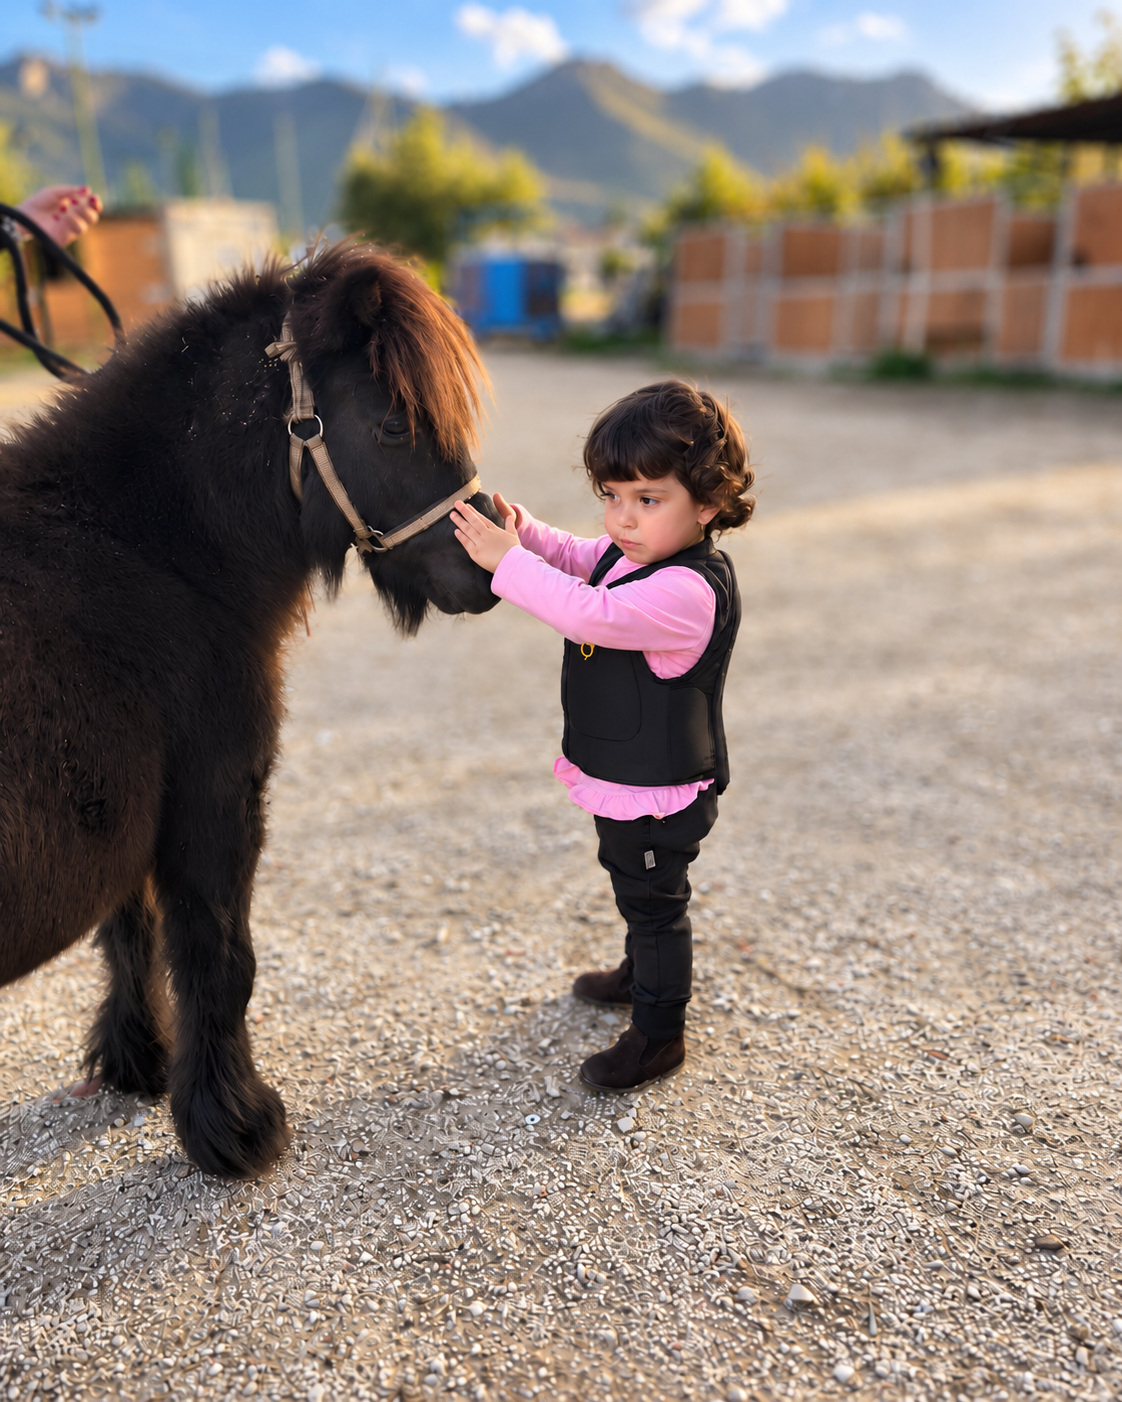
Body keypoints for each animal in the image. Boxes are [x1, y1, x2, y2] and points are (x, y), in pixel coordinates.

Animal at [0, 242, 501, 1178]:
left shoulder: (133, 807)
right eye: (392, 426)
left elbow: (131, 933)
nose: (489, 568)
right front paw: (234, 1126)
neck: (144, 551)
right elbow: (218, 956)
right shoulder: (214, 796)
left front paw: (137, 1063)